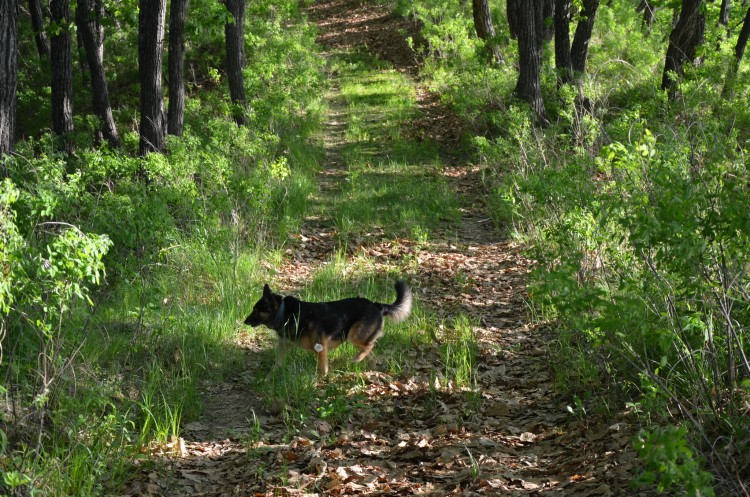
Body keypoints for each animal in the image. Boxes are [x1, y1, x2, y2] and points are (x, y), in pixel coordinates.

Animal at [245, 280, 412, 374]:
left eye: (256, 310)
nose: (245, 321)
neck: (284, 312)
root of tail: (377, 305)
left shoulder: (321, 348)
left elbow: (322, 369)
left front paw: (320, 383)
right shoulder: (285, 345)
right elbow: (277, 364)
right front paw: (269, 378)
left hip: (354, 336)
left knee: (370, 346)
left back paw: (357, 359)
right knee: (371, 353)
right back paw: (369, 366)